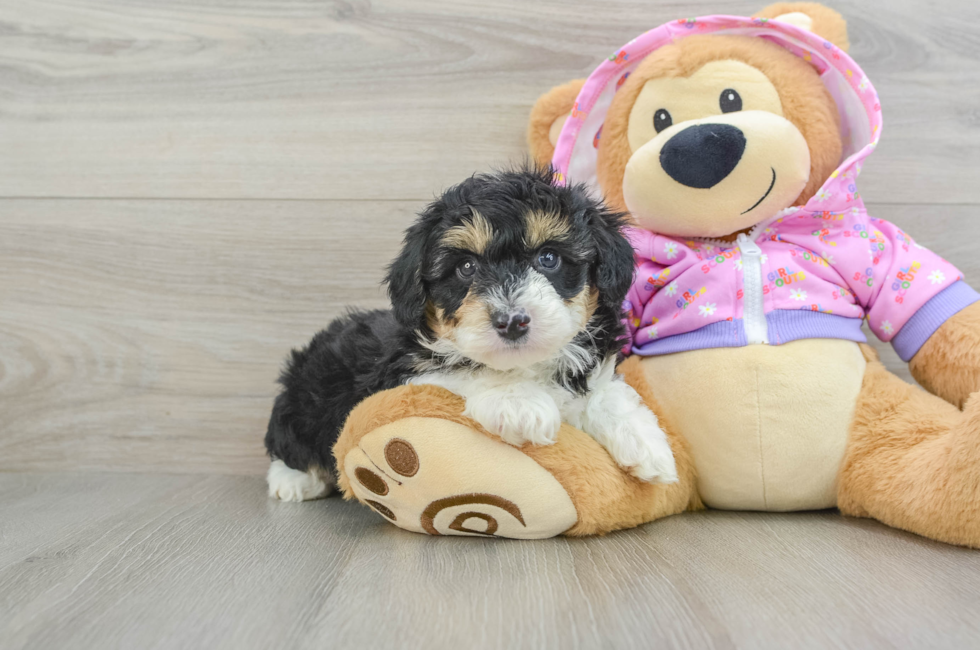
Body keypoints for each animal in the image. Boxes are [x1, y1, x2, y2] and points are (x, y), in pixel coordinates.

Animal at [264, 167, 676, 502]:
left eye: (548, 258)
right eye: (465, 267)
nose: (512, 321)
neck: (527, 366)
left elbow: (606, 391)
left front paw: (646, 442)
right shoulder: (404, 373)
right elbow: (464, 368)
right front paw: (519, 403)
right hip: (304, 400)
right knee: (287, 443)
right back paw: (294, 481)